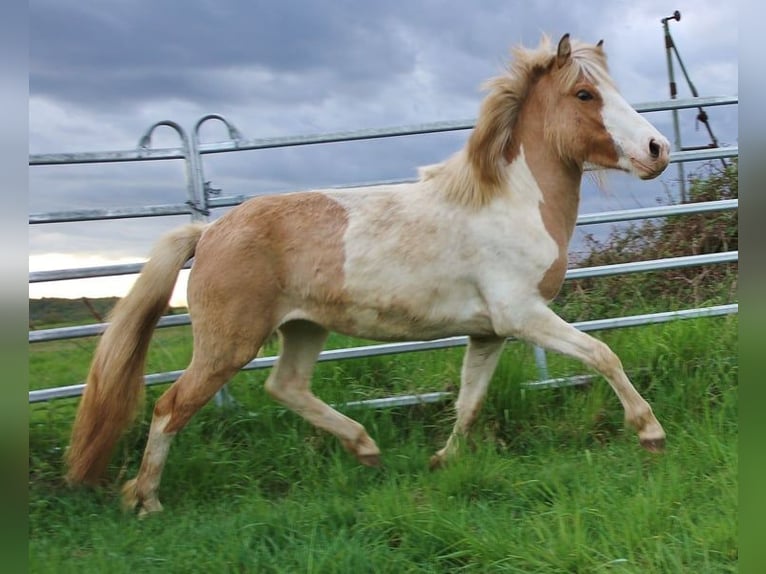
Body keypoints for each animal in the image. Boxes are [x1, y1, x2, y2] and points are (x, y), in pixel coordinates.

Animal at [65, 34, 670, 516]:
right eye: (585, 94)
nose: (657, 148)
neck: (509, 202)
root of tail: (210, 231)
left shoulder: (489, 331)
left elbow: (469, 400)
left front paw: (443, 460)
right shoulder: (523, 315)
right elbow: (603, 355)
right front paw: (650, 432)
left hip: (303, 328)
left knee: (285, 386)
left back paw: (366, 449)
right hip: (226, 344)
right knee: (170, 408)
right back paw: (146, 500)